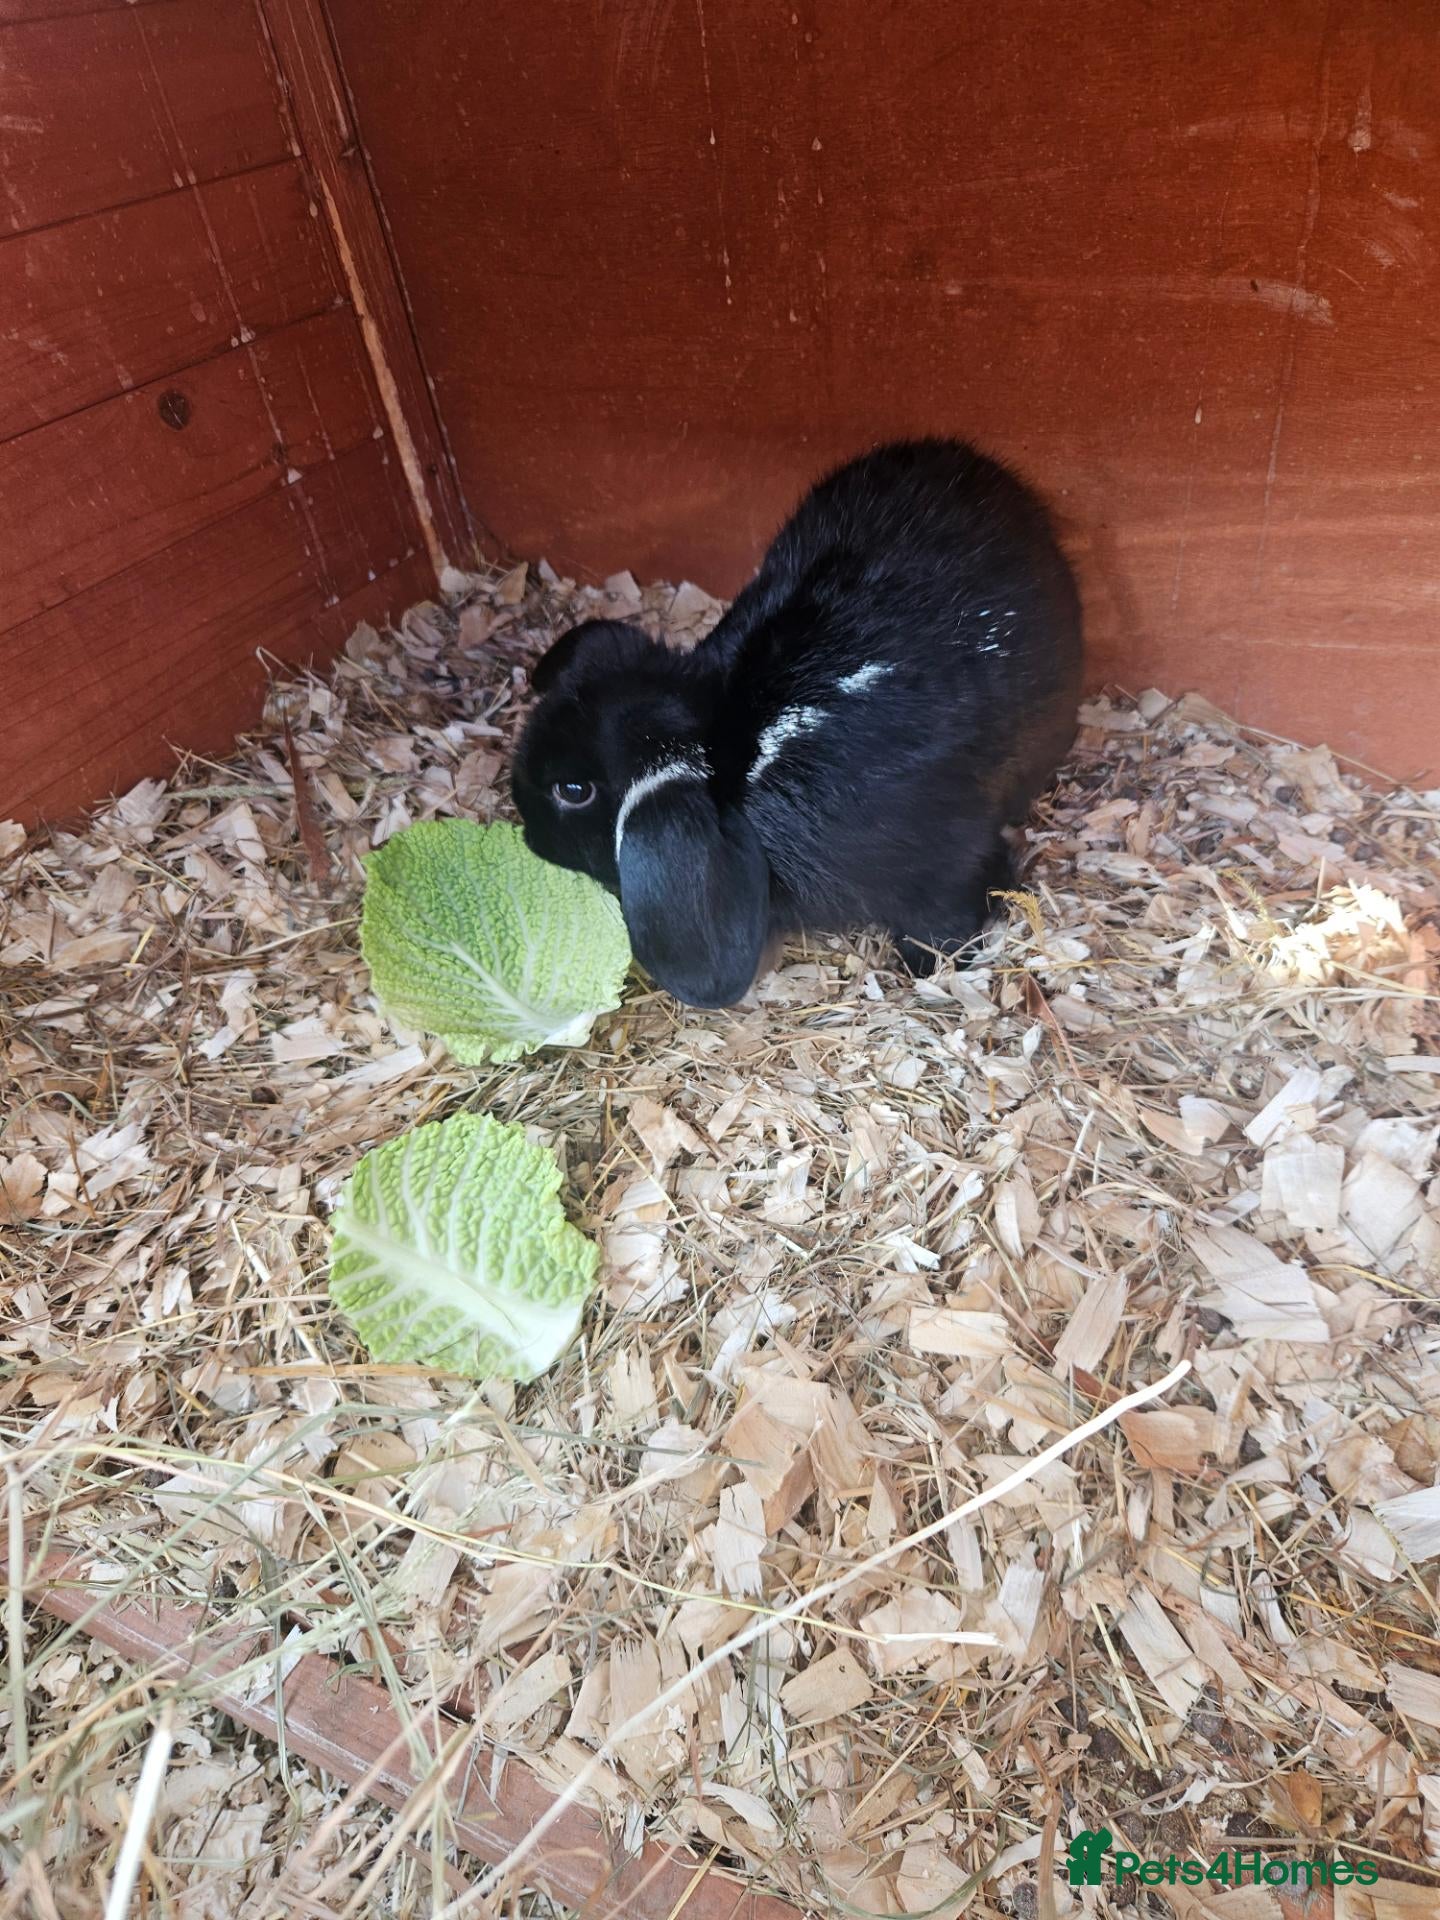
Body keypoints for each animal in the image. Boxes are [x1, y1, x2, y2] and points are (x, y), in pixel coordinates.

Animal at [511, 437, 1083, 1009]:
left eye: (573, 790)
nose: (530, 836)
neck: (732, 750)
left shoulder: (939, 863)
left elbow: (949, 911)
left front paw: (931, 965)